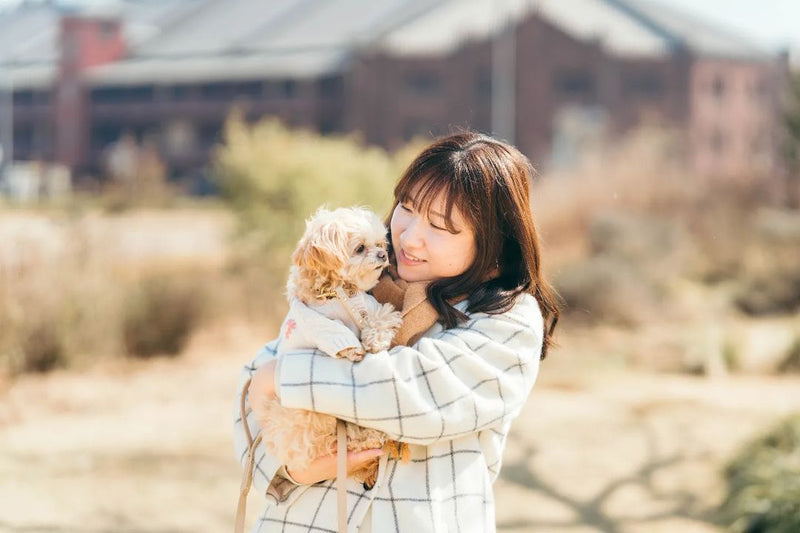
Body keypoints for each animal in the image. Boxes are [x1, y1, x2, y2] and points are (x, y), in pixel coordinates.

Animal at [253, 207, 406, 486]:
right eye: (360, 248)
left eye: (380, 244)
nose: (383, 255)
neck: (336, 291)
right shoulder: (317, 323)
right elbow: (337, 334)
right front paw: (355, 350)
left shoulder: (371, 307)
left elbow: (380, 318)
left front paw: (374, 340)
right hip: (305, 418)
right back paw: (368, 438)